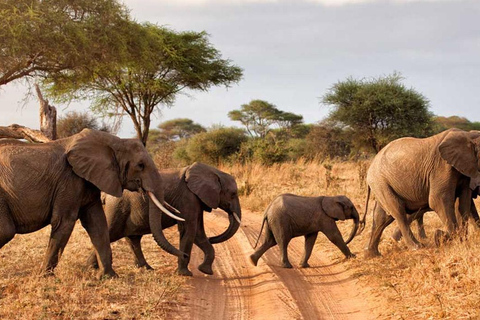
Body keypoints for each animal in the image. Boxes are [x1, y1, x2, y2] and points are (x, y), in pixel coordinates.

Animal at [0, 129, 186, 278]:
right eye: (140, 165)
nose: (184, 255)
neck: (114, 142)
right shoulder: (70, 180)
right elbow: (64, 222)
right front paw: (45, 277)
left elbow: (97, 224)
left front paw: (109, 277)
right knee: (6, 231)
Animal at [88, 162, 242, 276]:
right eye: (233, 194)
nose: (213, 238)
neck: (213, 171)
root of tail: (105, 194)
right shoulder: (188, 198)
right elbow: (189, 231)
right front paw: (185, 274)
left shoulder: (196, 200)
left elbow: (198, 233)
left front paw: (205, 271)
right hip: (117, 207)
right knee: (110, 233)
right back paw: (90, 268)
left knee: (133, 239)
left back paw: (146, 269)